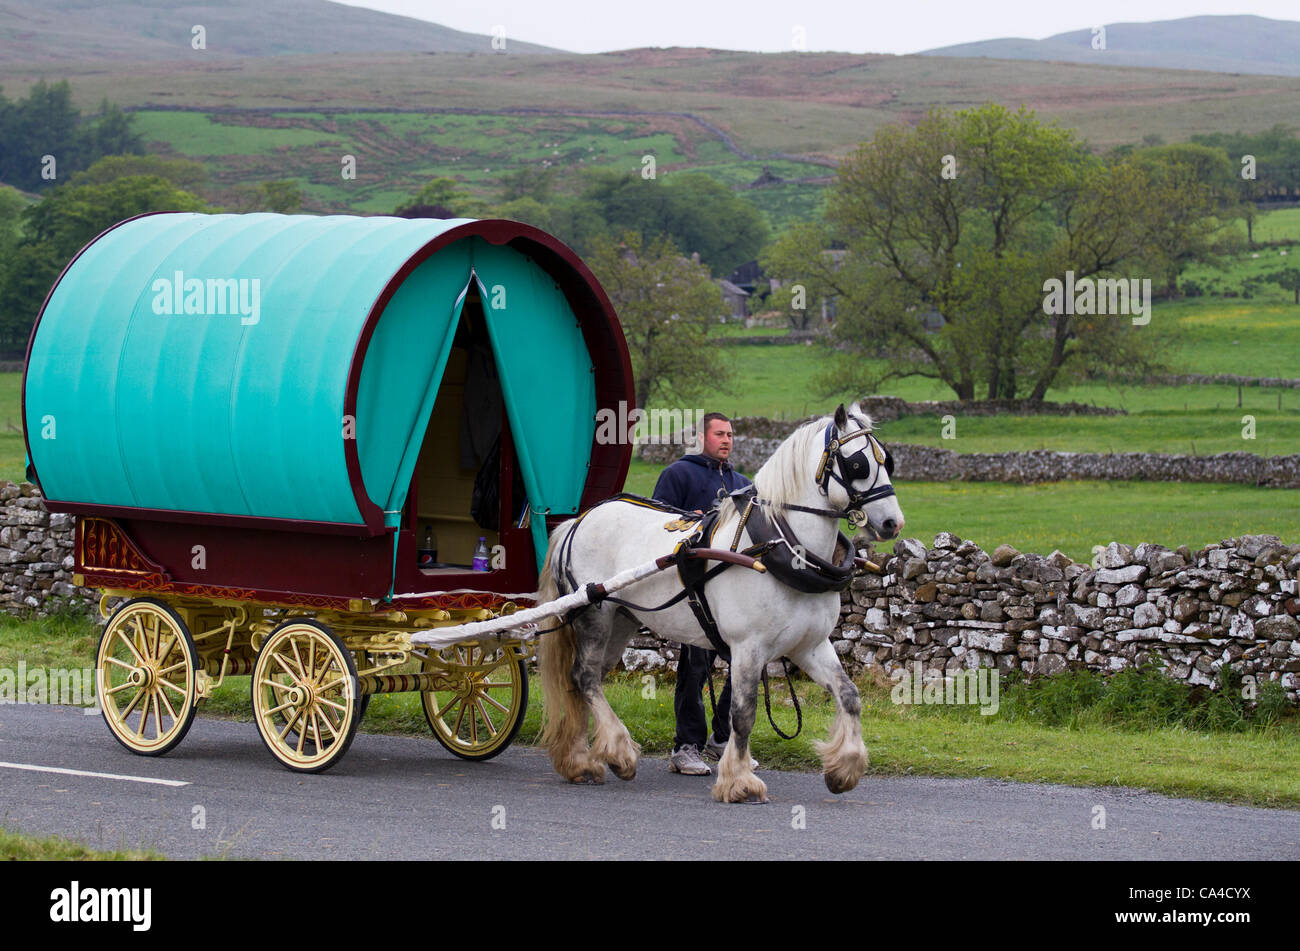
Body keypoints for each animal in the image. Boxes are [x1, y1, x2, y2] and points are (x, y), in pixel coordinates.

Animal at [538, 400, 904, 800]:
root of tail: (578, 520)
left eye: (888, 461)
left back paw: (580, 761)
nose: (893, 523)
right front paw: (739, 781)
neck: (778, 546)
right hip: (595, 613)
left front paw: (844, 768)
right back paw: (616, 752)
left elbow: (849, 695)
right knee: (584, 676)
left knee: (584, 682)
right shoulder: (748, 647)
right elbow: (743, 714)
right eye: (857, 464)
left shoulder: (810, 644)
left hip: (621, 619)